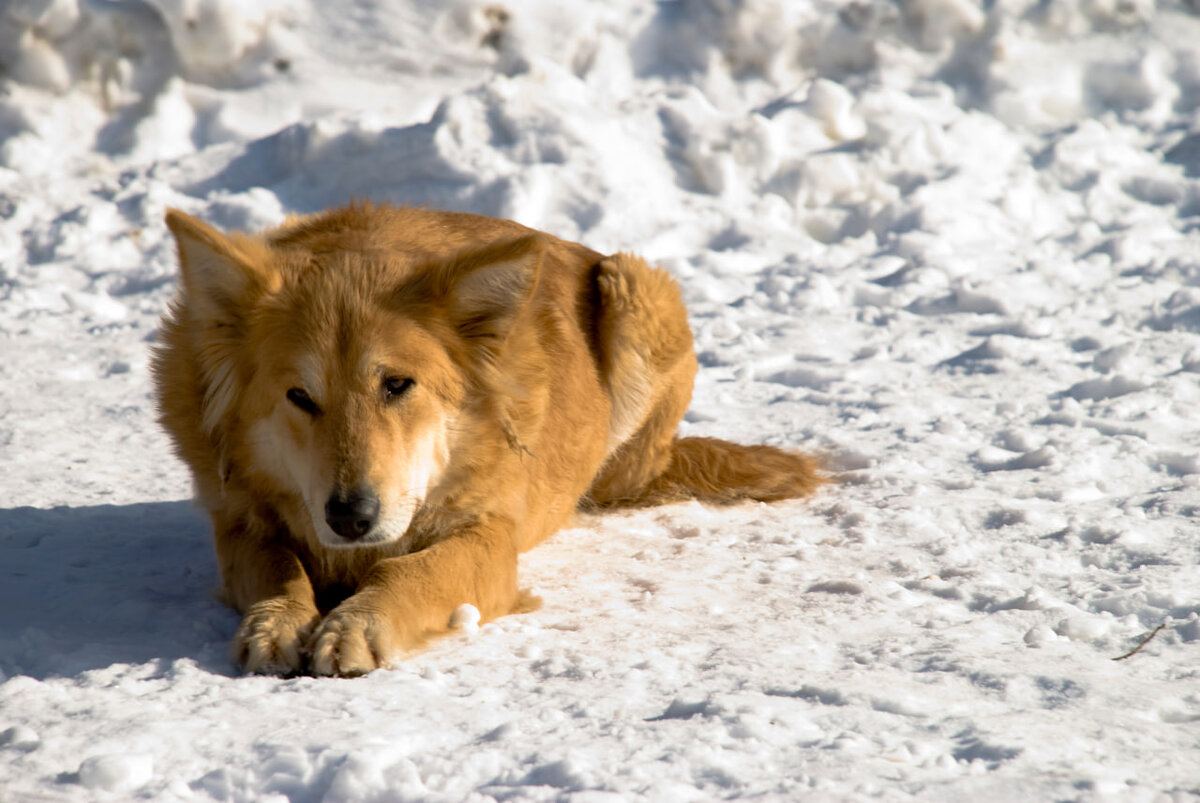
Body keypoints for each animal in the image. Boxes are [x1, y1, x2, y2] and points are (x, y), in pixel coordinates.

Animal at [152, 201, 825, 676]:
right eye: (300, 397)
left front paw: (356, 625)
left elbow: (413, 571)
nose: (350, 517)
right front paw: (277, 623)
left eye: (397, 385)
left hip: (637, 288)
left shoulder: (489, 536)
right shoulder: (240, 518)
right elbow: (277, 566)